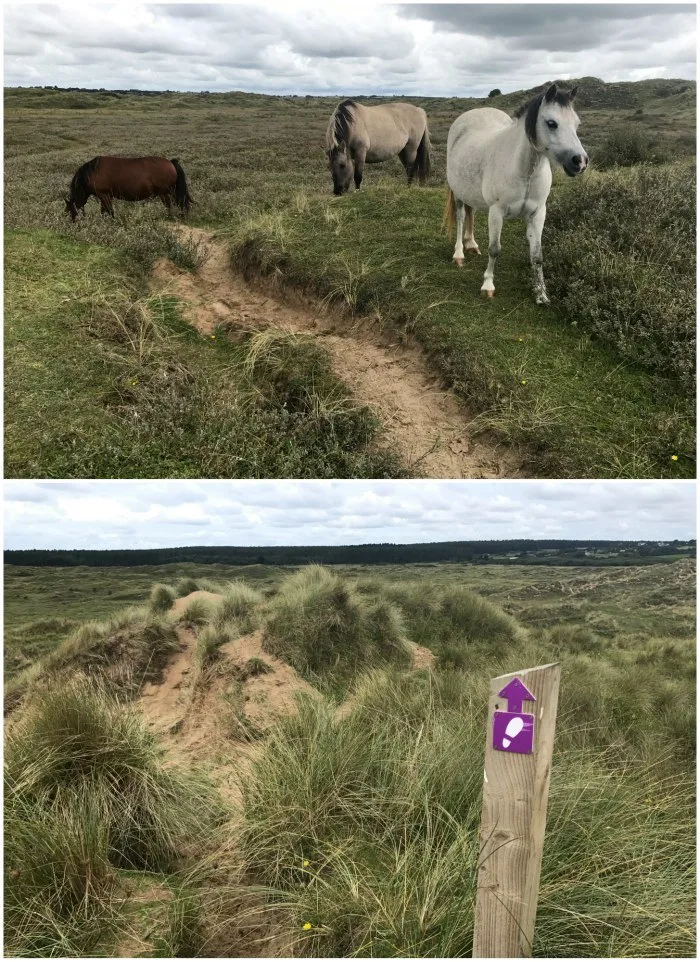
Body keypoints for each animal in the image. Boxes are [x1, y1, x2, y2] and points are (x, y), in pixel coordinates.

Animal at [65, 155, 193, 220]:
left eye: (69, 207)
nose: (67, 219)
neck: (92, 172)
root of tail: (171, 163)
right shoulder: (105, 197)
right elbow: (104, 211)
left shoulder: (104, 195)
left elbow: (109, 211)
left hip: (164, 194)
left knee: (169, 207)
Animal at [446, 87, 588, 304]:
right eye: (551, 123)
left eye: (577, 123)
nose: (579, 161)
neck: (524, 170)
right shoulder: (496, 212)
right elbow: (494, 249)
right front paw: (488, 286)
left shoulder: (538, 213)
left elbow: (537, 255)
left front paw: (541, 294)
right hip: (458, 193)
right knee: (461, 217)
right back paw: (459, 254)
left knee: (471, 213)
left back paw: (471, 244)